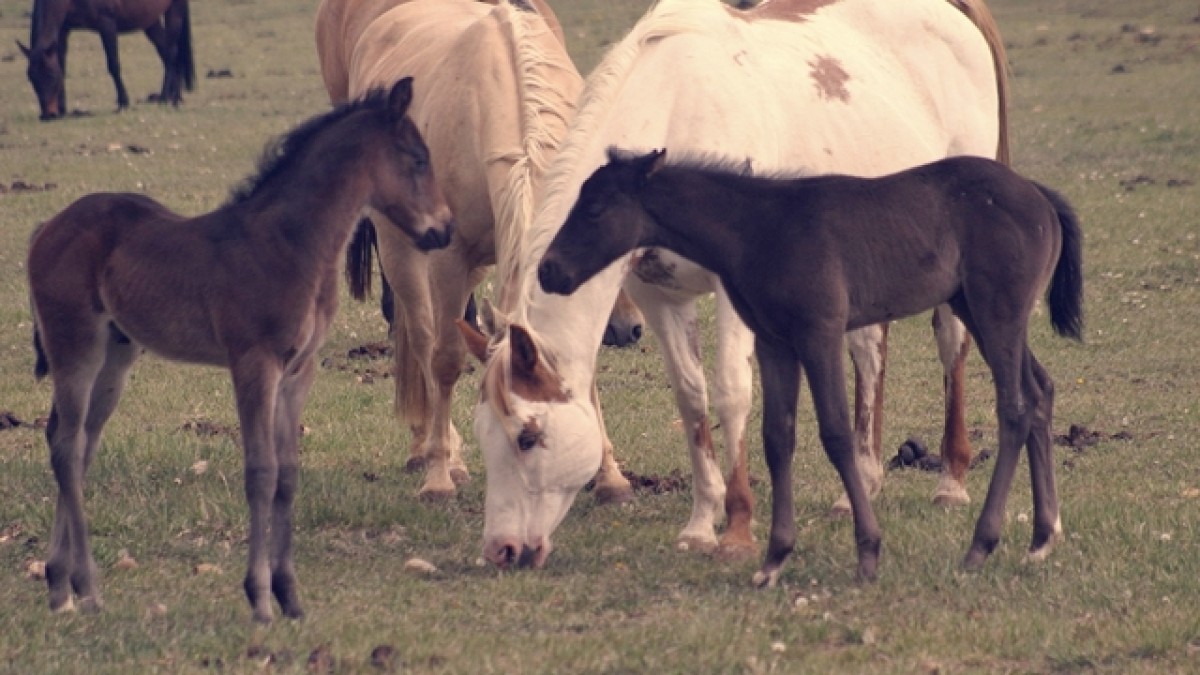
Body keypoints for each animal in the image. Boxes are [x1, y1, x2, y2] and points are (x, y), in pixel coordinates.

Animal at [17, 0, 195, 120]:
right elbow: (62, 64)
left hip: (173, 11)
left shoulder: (106, 23)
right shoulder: (64, 29)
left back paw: (166, 98)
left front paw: (123, 103)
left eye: (50, 76)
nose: (48, 115)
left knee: (172, 54)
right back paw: (174, 97)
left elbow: (113, 65)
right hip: (150, 21)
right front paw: (63, 109)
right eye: (31, 79)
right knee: (167, 55)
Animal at [26, 78, 453, 623]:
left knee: (77, 443)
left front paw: (290, 596)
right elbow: (261, 471)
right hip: (75, 345)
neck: (292, 245)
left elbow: (288, 475)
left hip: (115, 357)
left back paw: (61, 585)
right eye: (418, 159)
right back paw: (88, 587)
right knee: (65, 447)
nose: (445, 230)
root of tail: (46, 228)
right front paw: (259, 598)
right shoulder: (255, 363)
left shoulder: (298, 371)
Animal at [315, 0, 642, 501]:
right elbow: (446, 359)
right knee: (422, 338)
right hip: (403, 251)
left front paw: (609, 474)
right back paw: (436, 451)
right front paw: (439, 477)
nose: (628, 328)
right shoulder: (449, 260)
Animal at [457, 0, 1010, 569]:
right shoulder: (659, 297)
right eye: (483, 435)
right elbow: (692, 399)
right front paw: (702, 524)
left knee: (951, 344)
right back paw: (859, 485)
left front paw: (739, 530)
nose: (501, 550)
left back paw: (951, 482)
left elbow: (731, 393)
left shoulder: (732, 293)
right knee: (869, 351)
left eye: (528, 437)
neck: (675, 113)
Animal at [537, 149, 1084, 583]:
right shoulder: (775, 343)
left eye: (595, 209)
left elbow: (837, 433)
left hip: (997, 312)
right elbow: (777, 438)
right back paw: (1041, 539)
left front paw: (868, 553)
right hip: (979, 310)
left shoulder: (819, 334)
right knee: (1041, 392)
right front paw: (774, 559)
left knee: (1015, 408)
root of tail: (1037, 195)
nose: (549, 271)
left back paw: (981, 546)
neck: (759, 229)